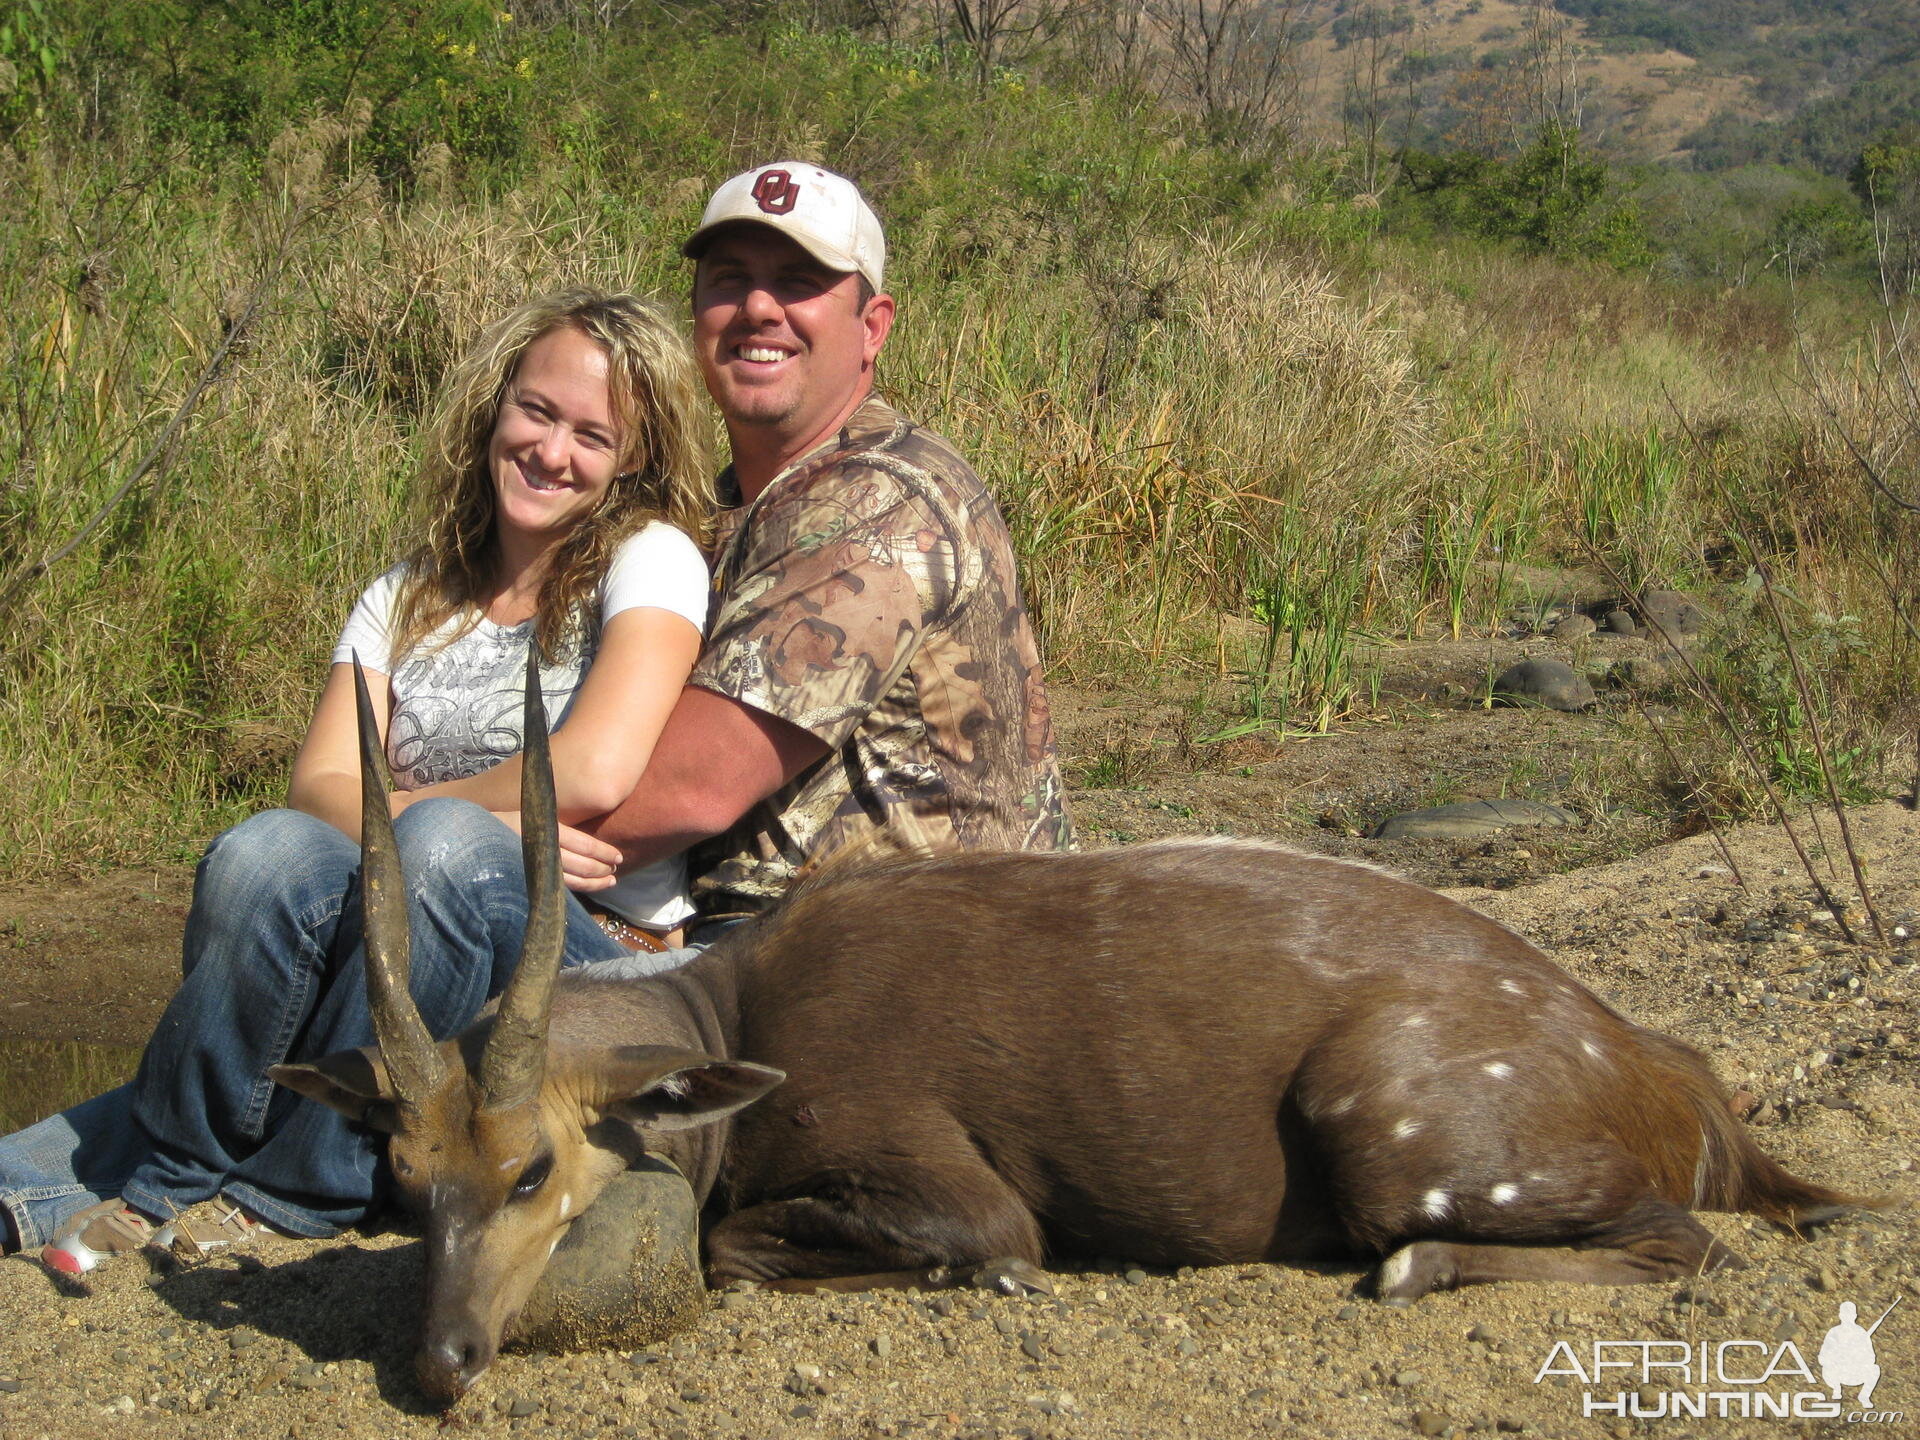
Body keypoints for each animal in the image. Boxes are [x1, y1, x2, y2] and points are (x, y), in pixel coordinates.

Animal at [274, 660, 1873, 1405]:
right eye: (405, 1180)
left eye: (535, 1169)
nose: (442, 1361)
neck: (737, 1023)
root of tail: (1673, 1078)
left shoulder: (959, 1193)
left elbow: (768, 1250)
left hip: (1388, 1134)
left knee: (1677, 1239)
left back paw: (1420, 1267)